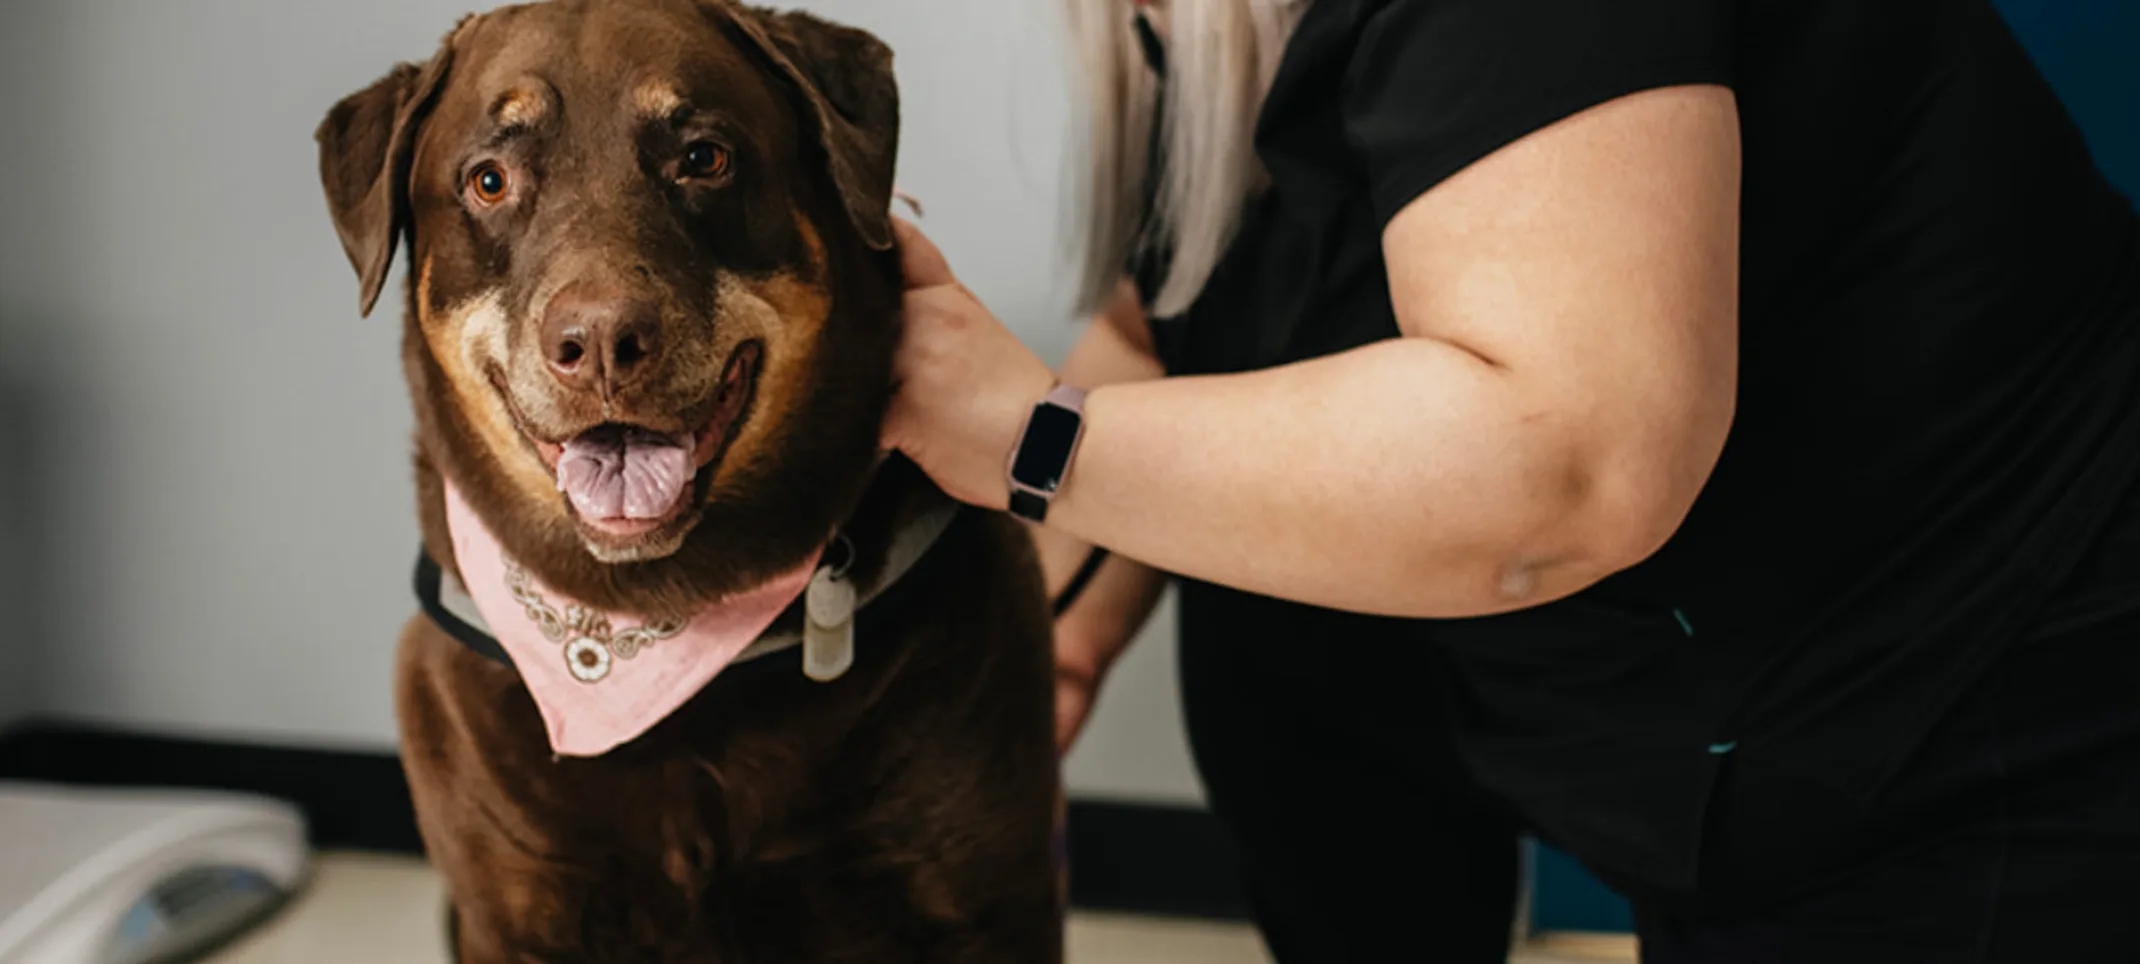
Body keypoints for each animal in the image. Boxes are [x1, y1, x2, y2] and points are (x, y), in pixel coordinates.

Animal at [310, 3, 1061, 959]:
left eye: (704, 157)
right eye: (488, 180)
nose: (599, 340)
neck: (655, 616)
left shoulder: (983, 894)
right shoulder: (511, 905)